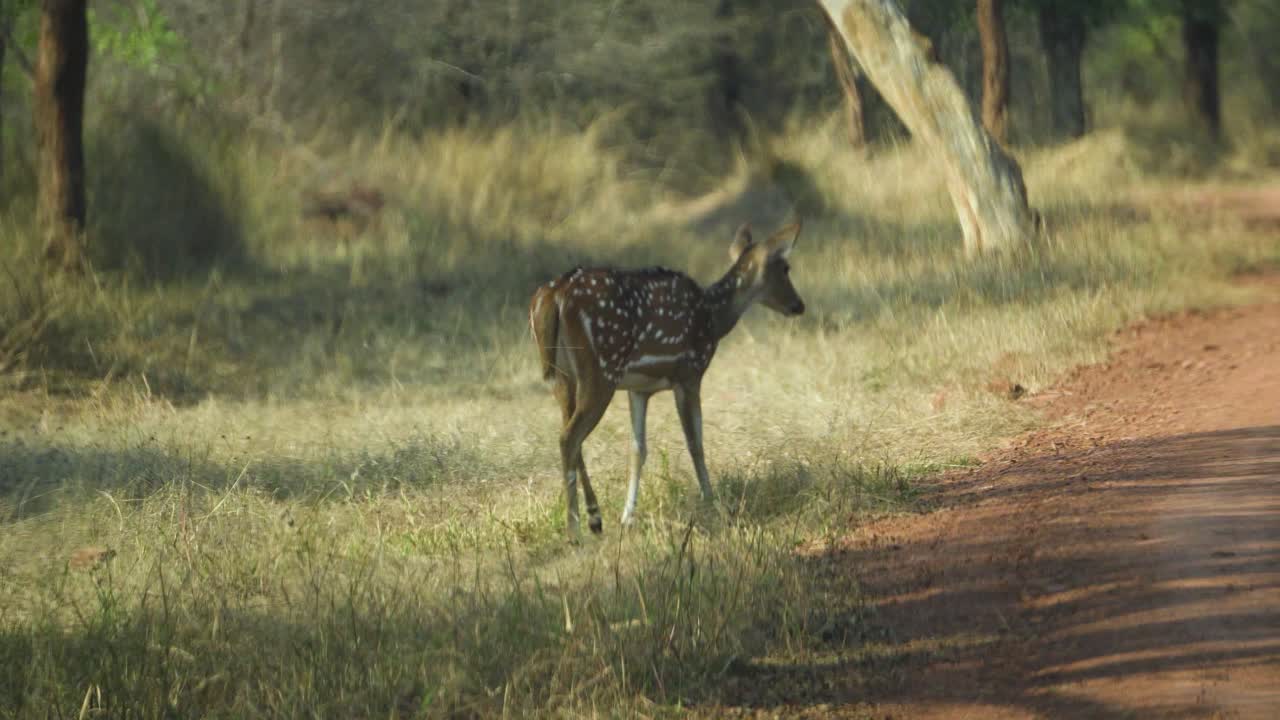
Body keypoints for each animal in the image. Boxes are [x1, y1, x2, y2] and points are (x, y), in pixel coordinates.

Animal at [529, 221, 805, 541]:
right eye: (785, 267)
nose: (799, 305)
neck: (713, 318)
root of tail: (552, 296)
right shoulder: (689, 373)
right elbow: (695, 442)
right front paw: (712, 503)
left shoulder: (638, 389)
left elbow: (638, 450)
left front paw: (627, 518)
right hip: (600, 370)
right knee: (569, 437)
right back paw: (574, 531)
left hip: (562, 377)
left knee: (570, 435)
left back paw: (595, 519)